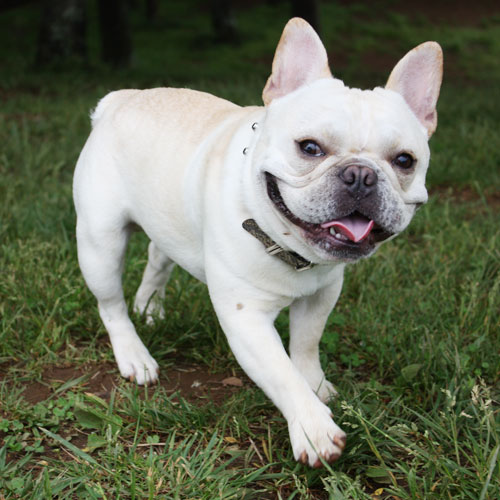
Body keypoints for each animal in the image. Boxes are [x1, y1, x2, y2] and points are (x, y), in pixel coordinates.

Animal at [73, 18, 442, 467]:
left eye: (405, 161)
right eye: (310, 148)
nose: (361, 175)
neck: (288, 245)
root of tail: (119, 100)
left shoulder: (322, 295)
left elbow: (306, 346)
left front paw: (317, 385)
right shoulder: (246, 318)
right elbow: (282, 373)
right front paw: (313, 427)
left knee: (158, 257)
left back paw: (150, 306)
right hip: (100, 244)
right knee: (111, 305)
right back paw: (134, 354)